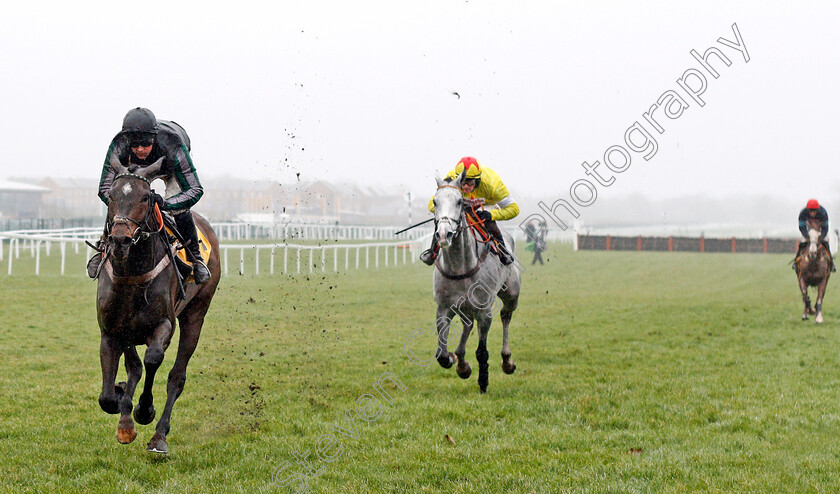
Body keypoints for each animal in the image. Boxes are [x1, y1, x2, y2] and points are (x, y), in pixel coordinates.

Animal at [96, 159, 220, 456]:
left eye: (145, 197)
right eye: (111, 196)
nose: (120, 240)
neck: (132, 272)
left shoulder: (164, 324)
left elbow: (153, 359)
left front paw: (144, 410)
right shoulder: (112, 330)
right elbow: (108, 395)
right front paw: (123, 410)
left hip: (196, 313)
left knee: (177, 376)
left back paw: (159, 435)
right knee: (134, 368)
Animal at [434, 170, 520, 394]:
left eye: (459, 202)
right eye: (435, 202)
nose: (444, 234)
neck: (459, 266)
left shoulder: (484, 312)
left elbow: (482, 351)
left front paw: (483, 382)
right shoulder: (443, 308)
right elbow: (441, 355)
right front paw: (457, 361)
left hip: (511, 294)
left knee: (506, 316)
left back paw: (507, 361)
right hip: (465, 307)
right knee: (467, 324)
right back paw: (462, 361)